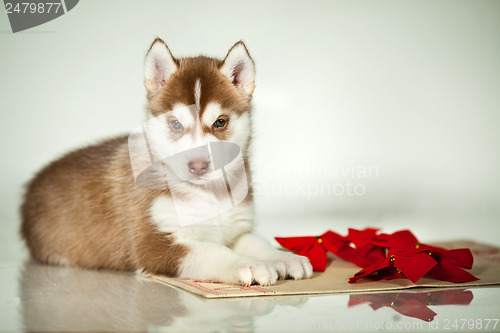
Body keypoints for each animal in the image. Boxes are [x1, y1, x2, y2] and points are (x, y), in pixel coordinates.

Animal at [23, 37, 314, 284]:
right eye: (175, 123)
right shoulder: (153, 244)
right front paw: (248, 264)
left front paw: (284, 257)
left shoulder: (236, 227)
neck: (210, 194)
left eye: (220, 122)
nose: (198, 166)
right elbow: (212, 252)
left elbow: (256, 241)